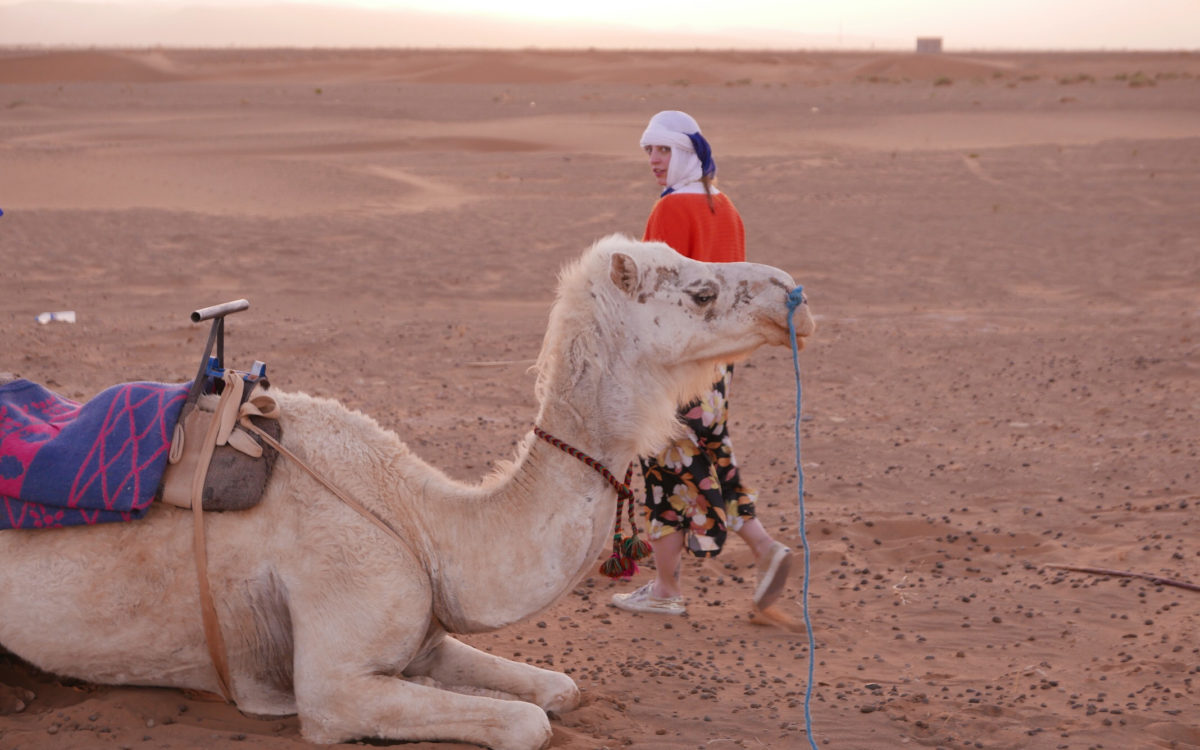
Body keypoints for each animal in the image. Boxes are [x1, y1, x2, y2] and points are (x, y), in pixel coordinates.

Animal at [0, 234, 816, 748]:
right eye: (702, 292)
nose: (795, 298)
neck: (418, 520)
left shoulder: (424, 633)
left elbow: (559, 690)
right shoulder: (335, 680)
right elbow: (526, 723)